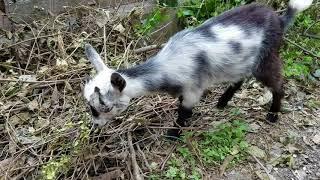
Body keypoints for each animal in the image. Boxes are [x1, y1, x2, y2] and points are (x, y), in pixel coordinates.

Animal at [82, 0, 312, 138]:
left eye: (104, 106)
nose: (95, 125)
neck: (166, 66)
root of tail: (280, 19)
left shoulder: (193, 88)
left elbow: (184, 111)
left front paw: (174, 134)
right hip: (241, 61)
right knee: (239, 78)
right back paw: (222, 102)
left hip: (266, 58)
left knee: (277, 83)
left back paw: (273, 114)